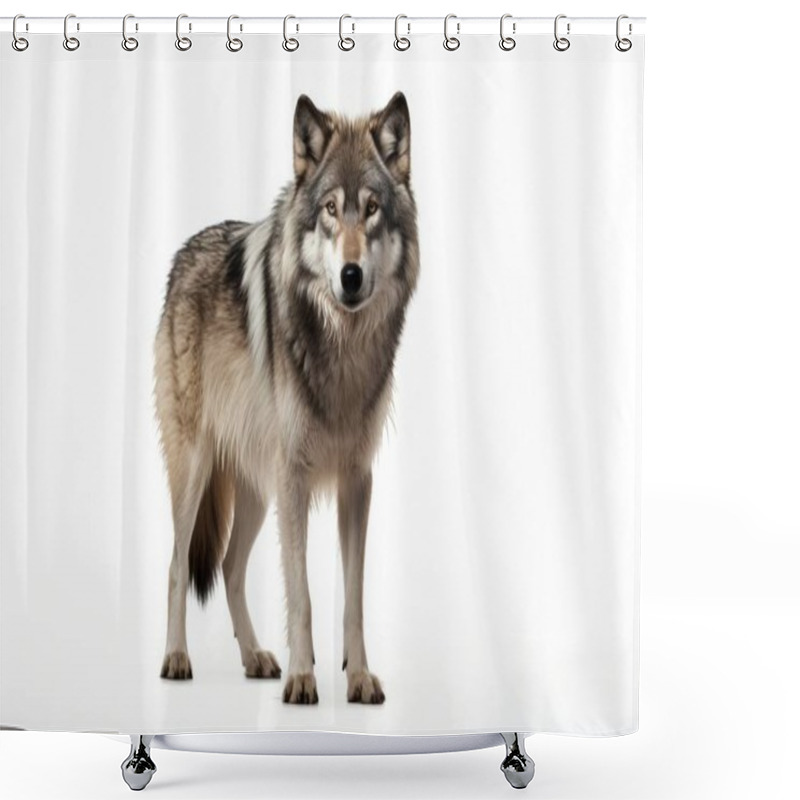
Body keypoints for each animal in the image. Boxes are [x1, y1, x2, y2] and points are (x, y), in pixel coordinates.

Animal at [154, 95, 422, 708]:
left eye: (372, 209)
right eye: (330, 209)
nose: (351, 275)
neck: (343, 349)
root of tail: (183, 255)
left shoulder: (356, 479)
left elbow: (353, 598)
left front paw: (358, 678)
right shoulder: (295, 476)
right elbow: (301, 592)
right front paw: (304, 678)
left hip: (256, 487)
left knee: (229, 567)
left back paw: (254, 657)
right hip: (198, 469)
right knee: (179, 564)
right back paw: (176, 659)